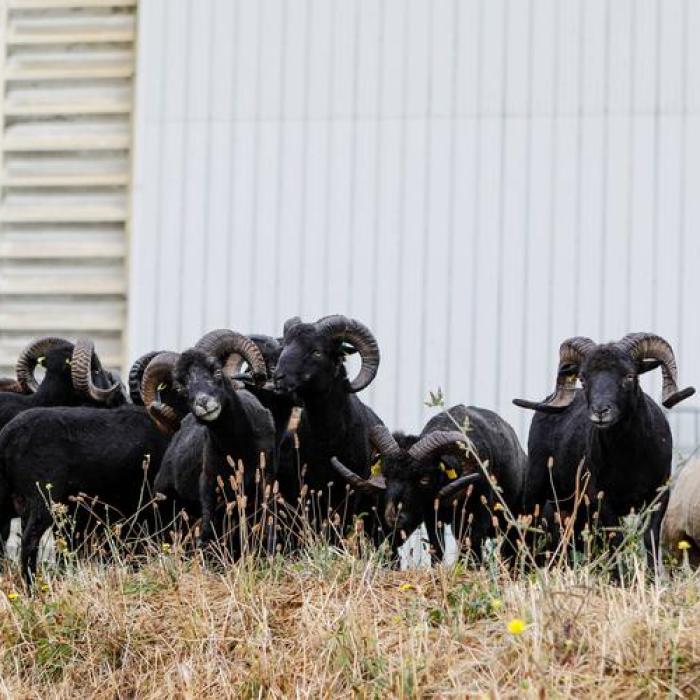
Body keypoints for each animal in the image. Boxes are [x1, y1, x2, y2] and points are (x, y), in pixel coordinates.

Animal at [516, 330, 696, 568]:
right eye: (583, 378)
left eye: (629, 376)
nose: (600, 411)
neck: (630, 458)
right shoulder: (602, 499)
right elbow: (615, 542)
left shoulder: (659, 497)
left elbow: (650, 539)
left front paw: (651, 575)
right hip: (537, 488)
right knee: (531, 529)